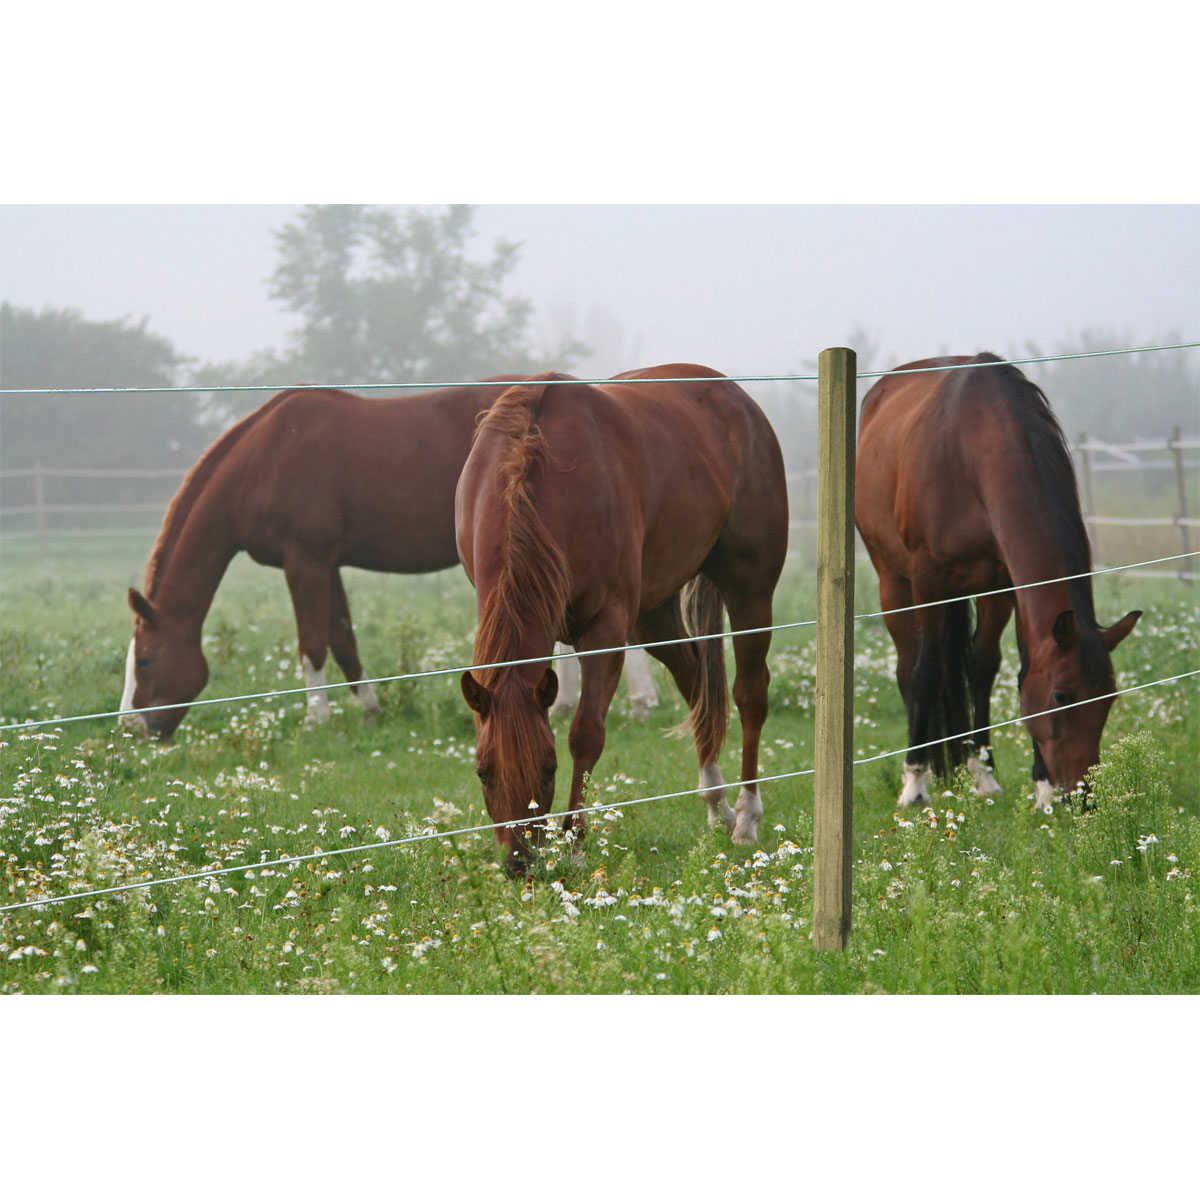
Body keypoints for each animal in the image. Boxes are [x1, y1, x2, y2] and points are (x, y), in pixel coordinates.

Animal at [120, 380, 660, 739]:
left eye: (145, 660)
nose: (131, 726)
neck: (265, 459)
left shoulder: (305, 561)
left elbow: (313, 643)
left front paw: (316, 718)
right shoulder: (327, 564)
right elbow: (342, 638)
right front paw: (369, 708)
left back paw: (640, 703)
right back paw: (566, 701)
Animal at [454, 364, 789, 872]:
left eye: (549, 768)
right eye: (482, 772)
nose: (519, 862)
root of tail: (737, 399)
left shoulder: (606, 630)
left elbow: (585, 734)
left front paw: (574, 844)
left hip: (749, 590)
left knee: (749, 694)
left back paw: (746, 818)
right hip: (653, 614)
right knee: (695, 679)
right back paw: (716, 804)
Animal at [854, 353, 1141, 813]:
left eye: (1109, 698)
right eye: (1062, 696)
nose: (1082, 797)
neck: (972, 449)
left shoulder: (1005, 582)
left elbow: (1000, 666)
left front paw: (1027, 784)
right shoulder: (927, 579)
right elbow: (926, 673)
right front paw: (914, 784)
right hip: (893, 581)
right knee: (908, 667)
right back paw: (923, 770)